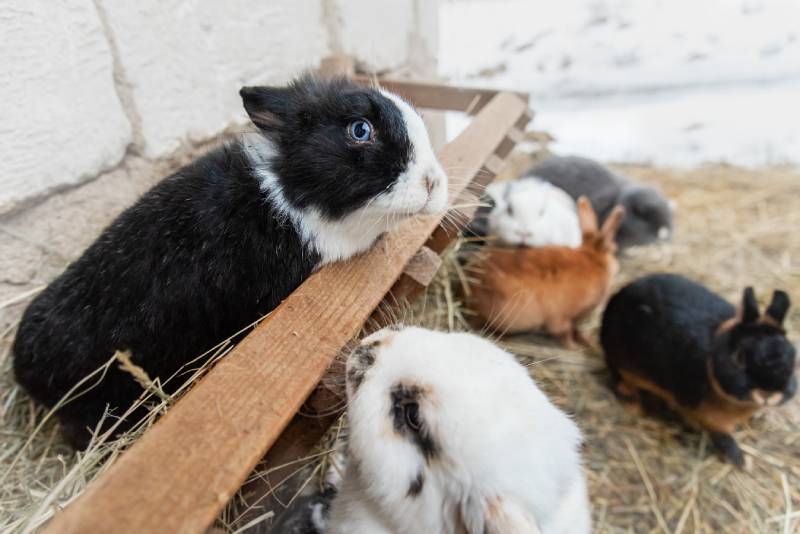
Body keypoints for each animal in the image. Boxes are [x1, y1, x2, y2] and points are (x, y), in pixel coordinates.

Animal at [469, 197, 625, 348]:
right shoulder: (562, 317)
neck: (592, 259)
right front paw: (573, 347)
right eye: (614, 250)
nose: (617, 266)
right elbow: (564, 333)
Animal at [600, 273, 797, 467]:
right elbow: (723, 437)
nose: (768, 393)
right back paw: (633, 404)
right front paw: (739, 461)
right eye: (739, 358)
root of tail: (617, 299)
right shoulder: (711, 418)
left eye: (793, 355)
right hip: (622, 363)